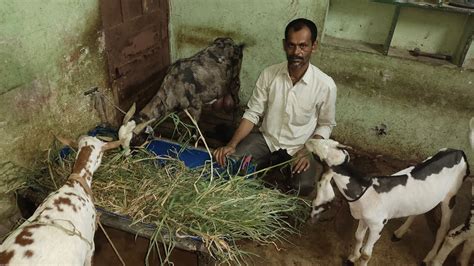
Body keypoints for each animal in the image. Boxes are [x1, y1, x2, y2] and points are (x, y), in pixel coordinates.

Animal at [306, 139, 468, 266]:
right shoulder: (364, 219)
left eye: (321, 150)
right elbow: (358, 237)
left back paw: (429, 258)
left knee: (443, 228)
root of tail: (459, 152)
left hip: (450, 196)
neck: (364, 188)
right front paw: (352, 258)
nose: (309, 140)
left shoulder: (378, 225)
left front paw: (359, 259)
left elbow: (366, 253)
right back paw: (399, 233)